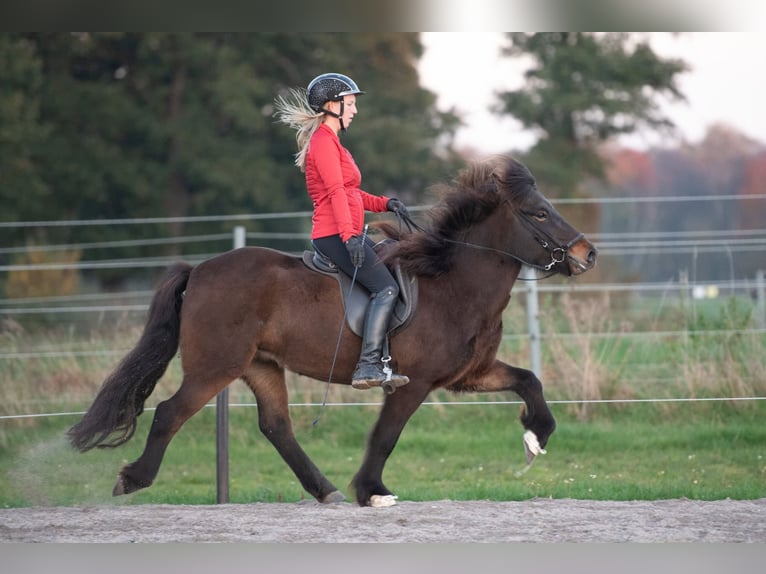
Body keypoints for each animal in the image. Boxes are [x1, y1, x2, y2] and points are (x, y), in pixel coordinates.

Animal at [69, 156, 600, 508]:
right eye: (538, 213)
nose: (587, 253)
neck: (450, 282)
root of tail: (199, 269)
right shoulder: (416, 382)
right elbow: (385, 436)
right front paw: (372, 491)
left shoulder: (470, 374)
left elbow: (529, 380)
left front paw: (536, 436)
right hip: (214, 367)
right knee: (169, 413)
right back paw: (133, 479)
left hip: (261, 366)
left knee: (276, 427)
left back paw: (324, 490)